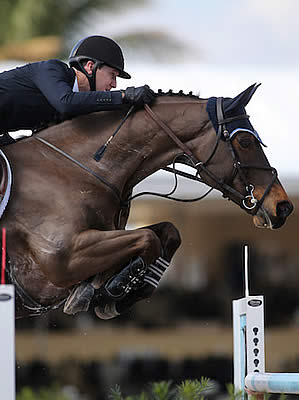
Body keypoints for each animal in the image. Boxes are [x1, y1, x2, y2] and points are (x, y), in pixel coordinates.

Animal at [0, 83, 294, 318]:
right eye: (244, 141)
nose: (283, 207)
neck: (75, 167)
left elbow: (168, 233)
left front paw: (121, 289)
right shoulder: (63, 259)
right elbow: (148, 239)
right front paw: (113, 286)